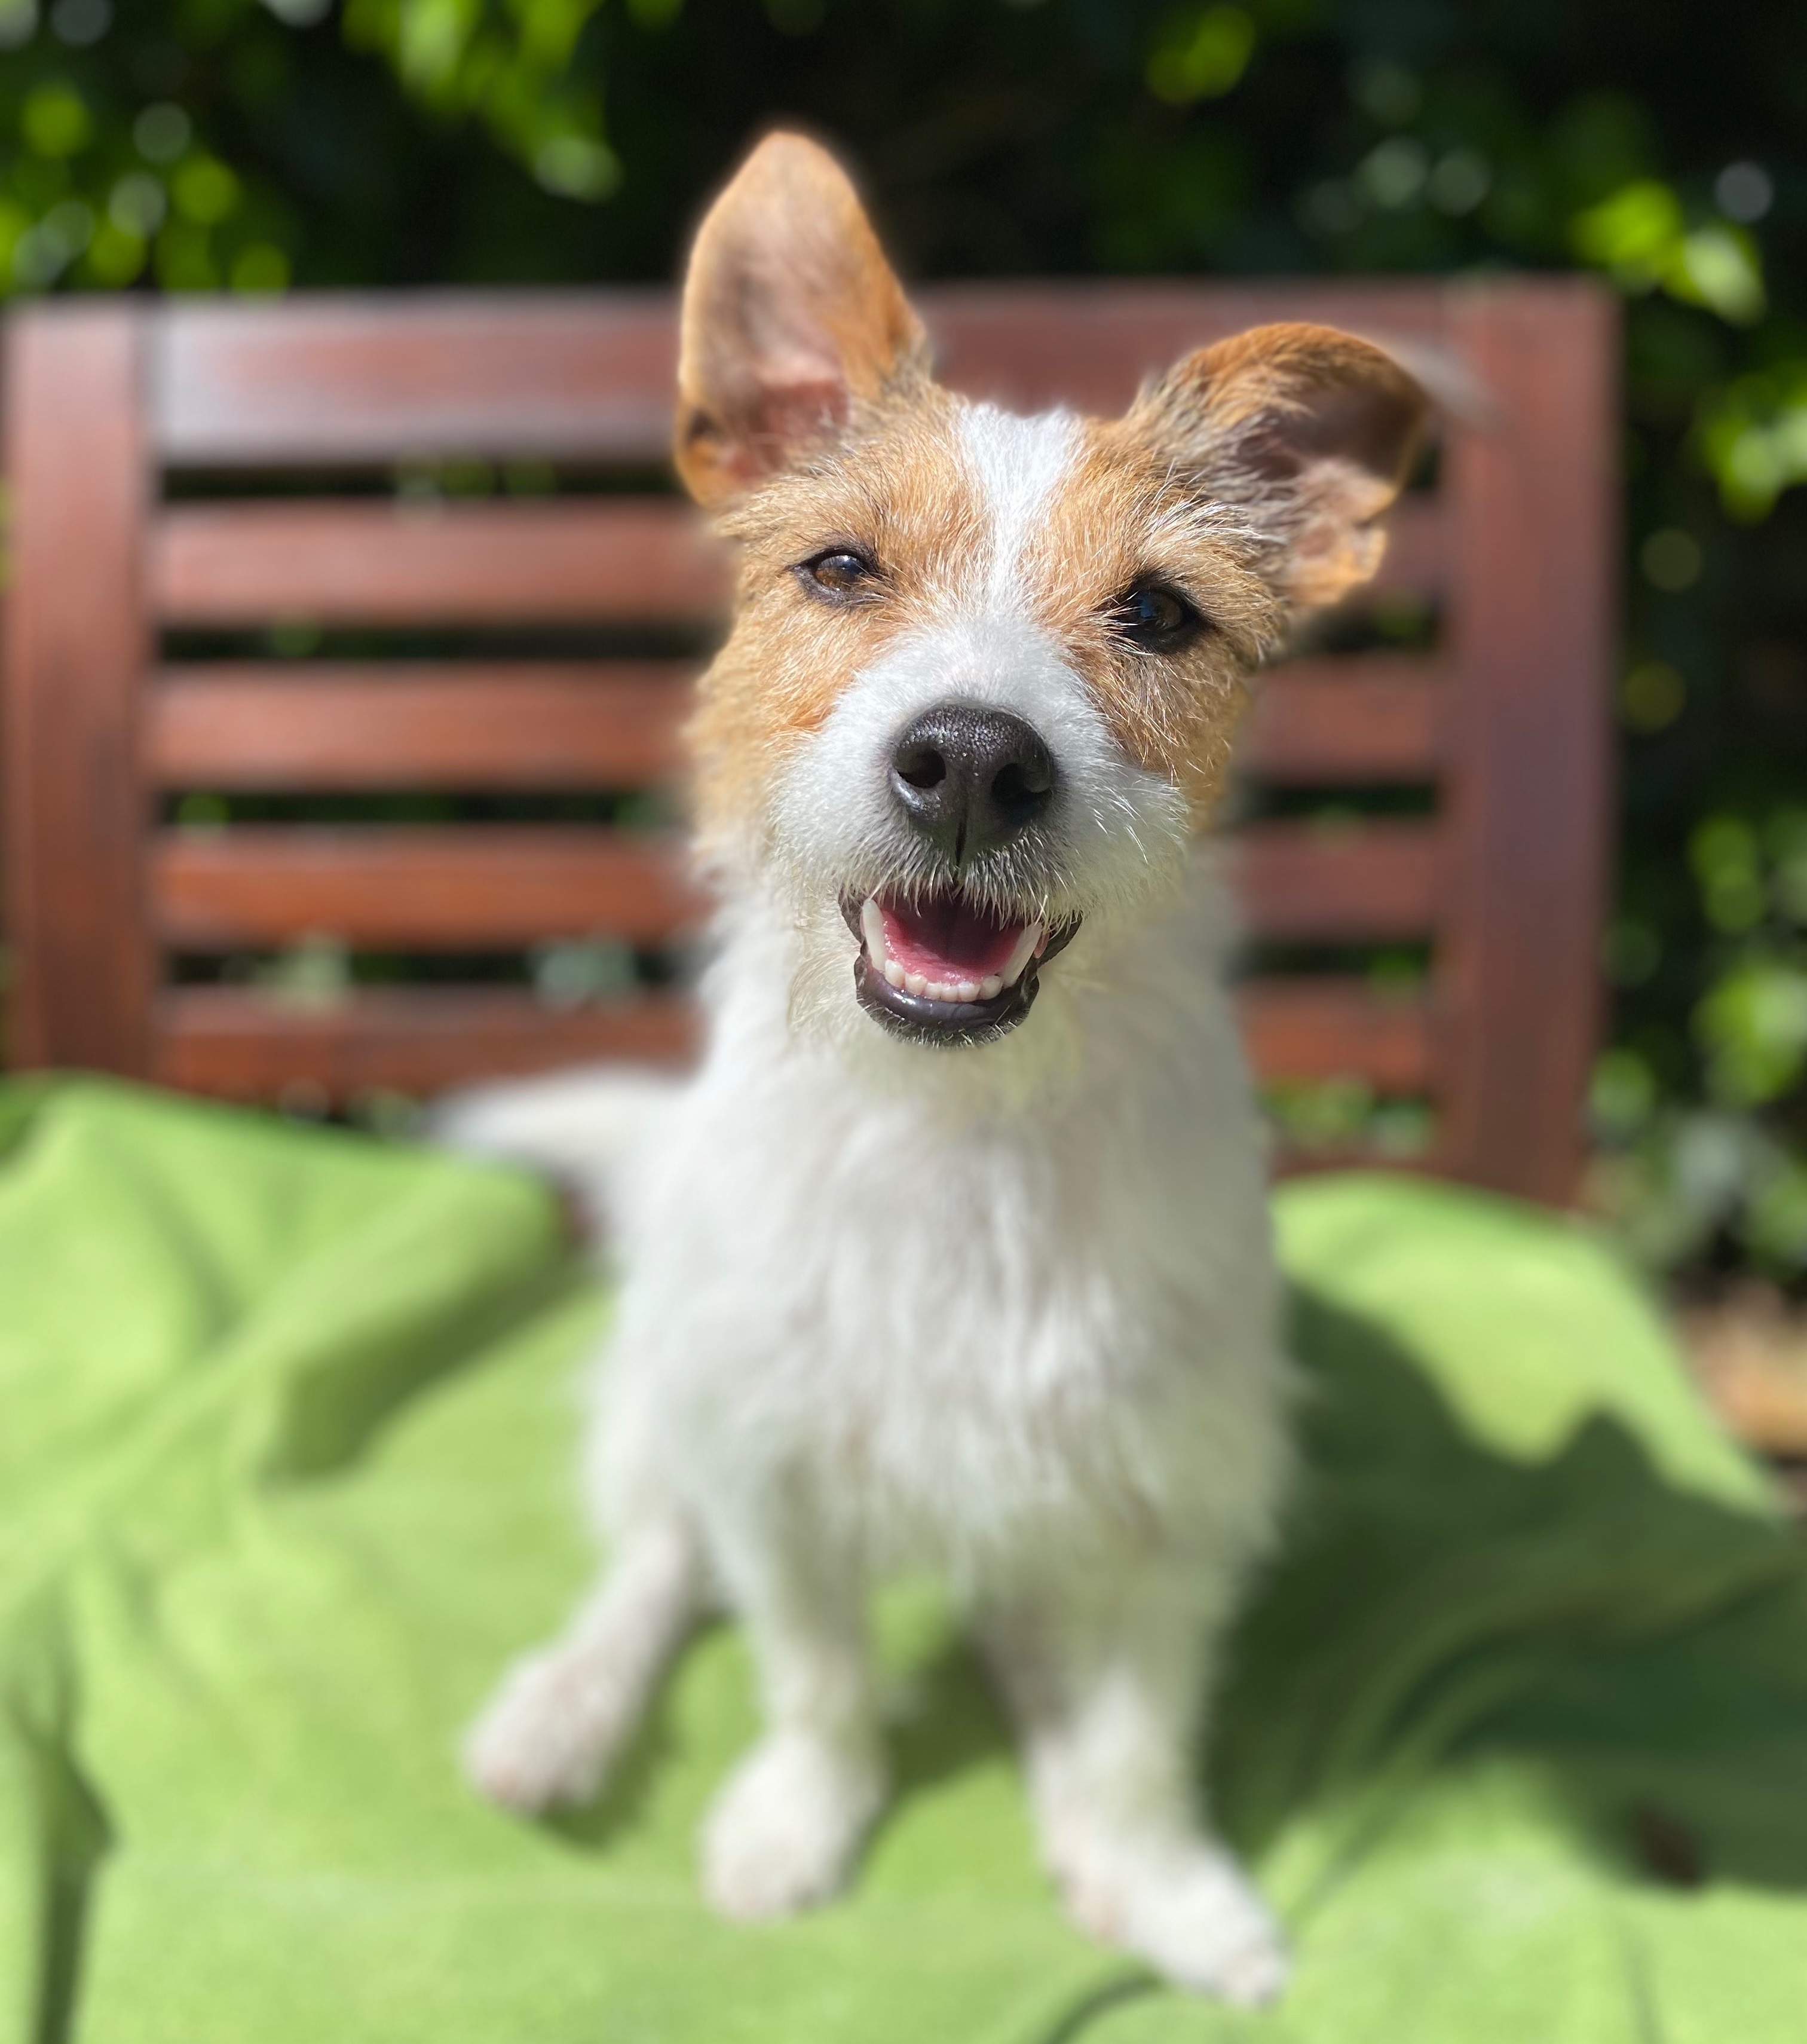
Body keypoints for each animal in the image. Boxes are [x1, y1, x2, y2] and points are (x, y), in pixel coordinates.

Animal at [448, 123, 1422, 1994]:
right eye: (841, 569)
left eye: (1162, 612)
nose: (972, 758)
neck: (964, 1130)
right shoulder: (770, 1462)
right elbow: (814, 1672)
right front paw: (793, 1824)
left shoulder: (1178, 1501)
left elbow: (1137, 1733)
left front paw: (1160, 1877)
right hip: (665, 1387)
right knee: (649, 1565)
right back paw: (560, 1711)